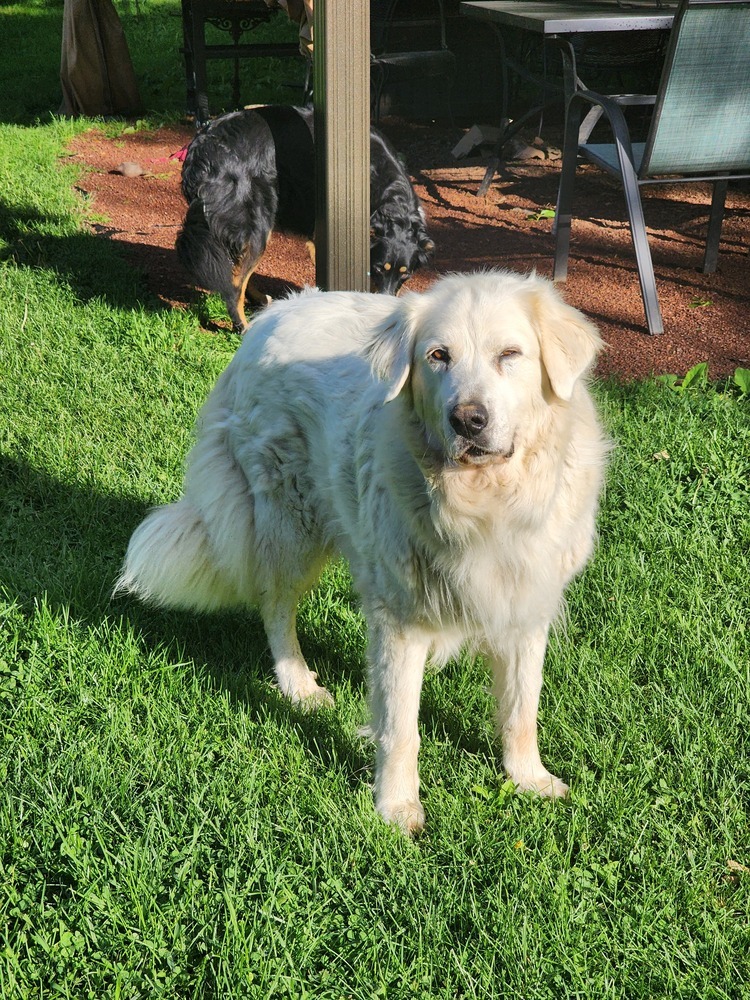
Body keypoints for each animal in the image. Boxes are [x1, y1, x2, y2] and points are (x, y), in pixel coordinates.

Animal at [117, 270, 612, 832]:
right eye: (438, 356)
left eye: (510, 354)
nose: (468, 420)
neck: (484, 502)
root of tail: (271, 315)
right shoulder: (400, 619)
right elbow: (401, 728)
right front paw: (396, 808)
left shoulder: (526, 605)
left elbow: (521, 708)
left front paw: (528, 778)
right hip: (292, 527)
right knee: (275, 607)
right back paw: (298, 685)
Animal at [176, 106, 434, 332]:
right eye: (379, 268)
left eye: (406, 276)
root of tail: (203, 148)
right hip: (258, 225)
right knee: (234, 285)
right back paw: (244, 327)